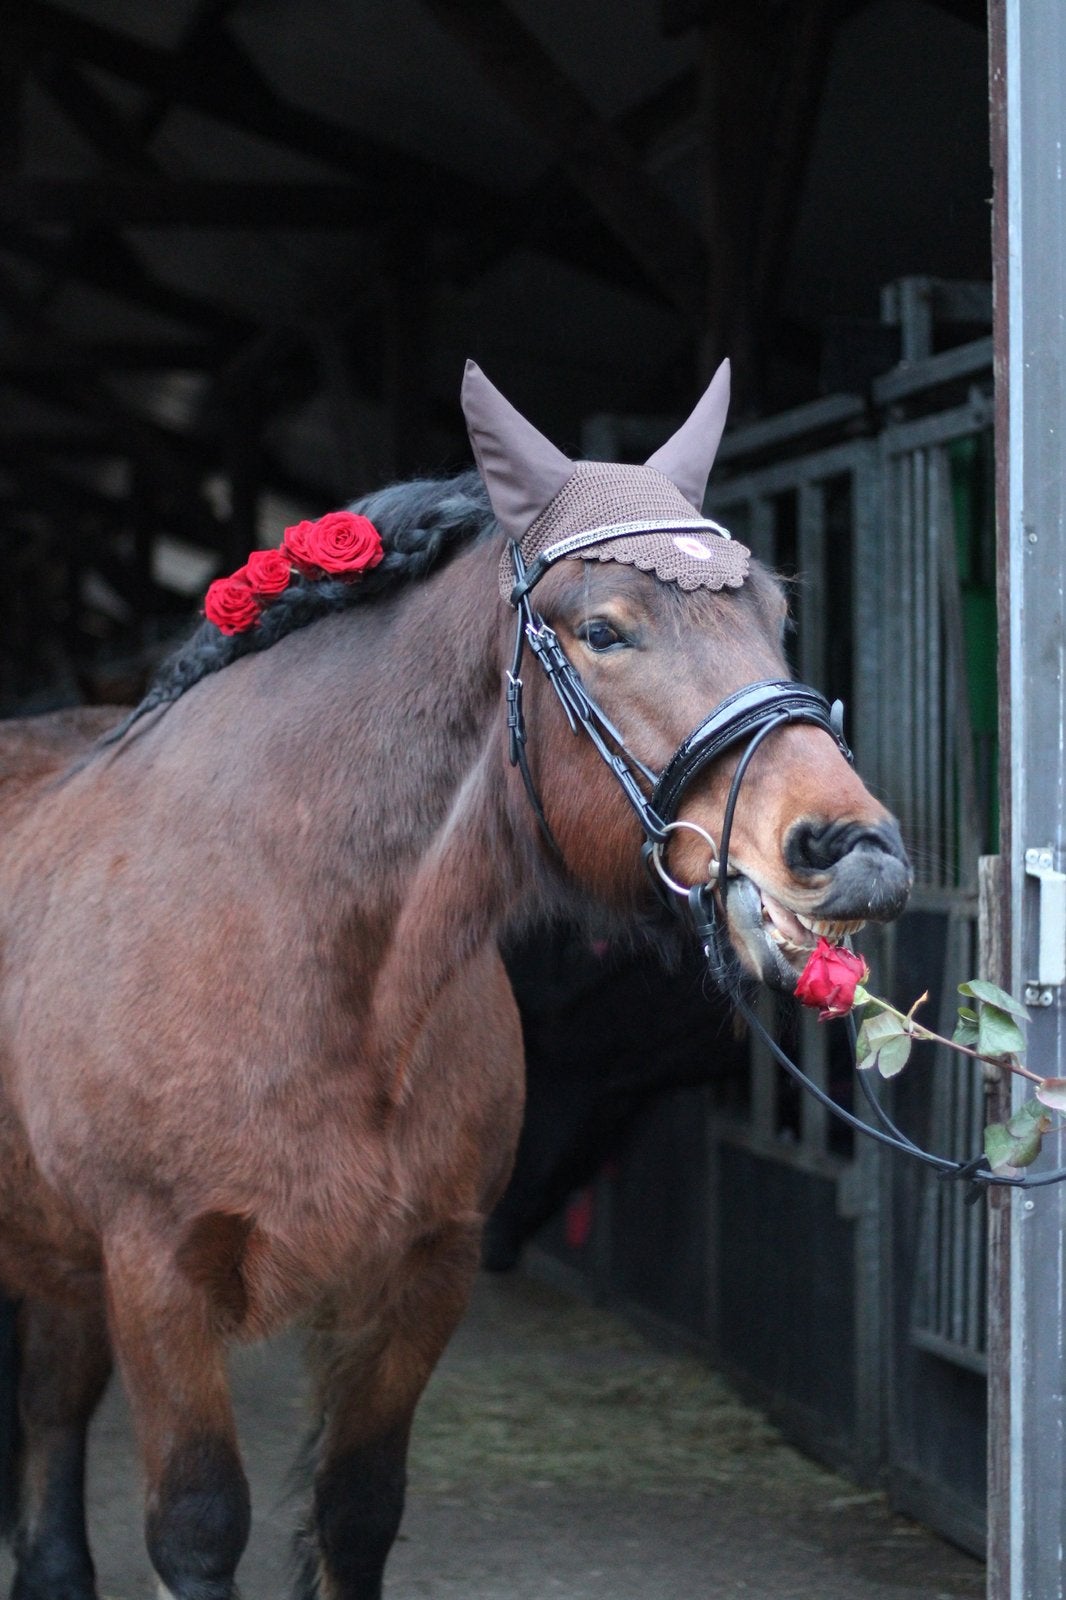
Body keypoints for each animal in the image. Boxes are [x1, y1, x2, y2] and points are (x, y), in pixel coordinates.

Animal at [0, 359, 910, 1599]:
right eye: (604, 629)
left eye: (775, 613)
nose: (854, 849)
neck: (305, 963)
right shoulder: (157, 1275)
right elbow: (197, 1523)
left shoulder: (422, 1275)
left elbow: (356, 1511)